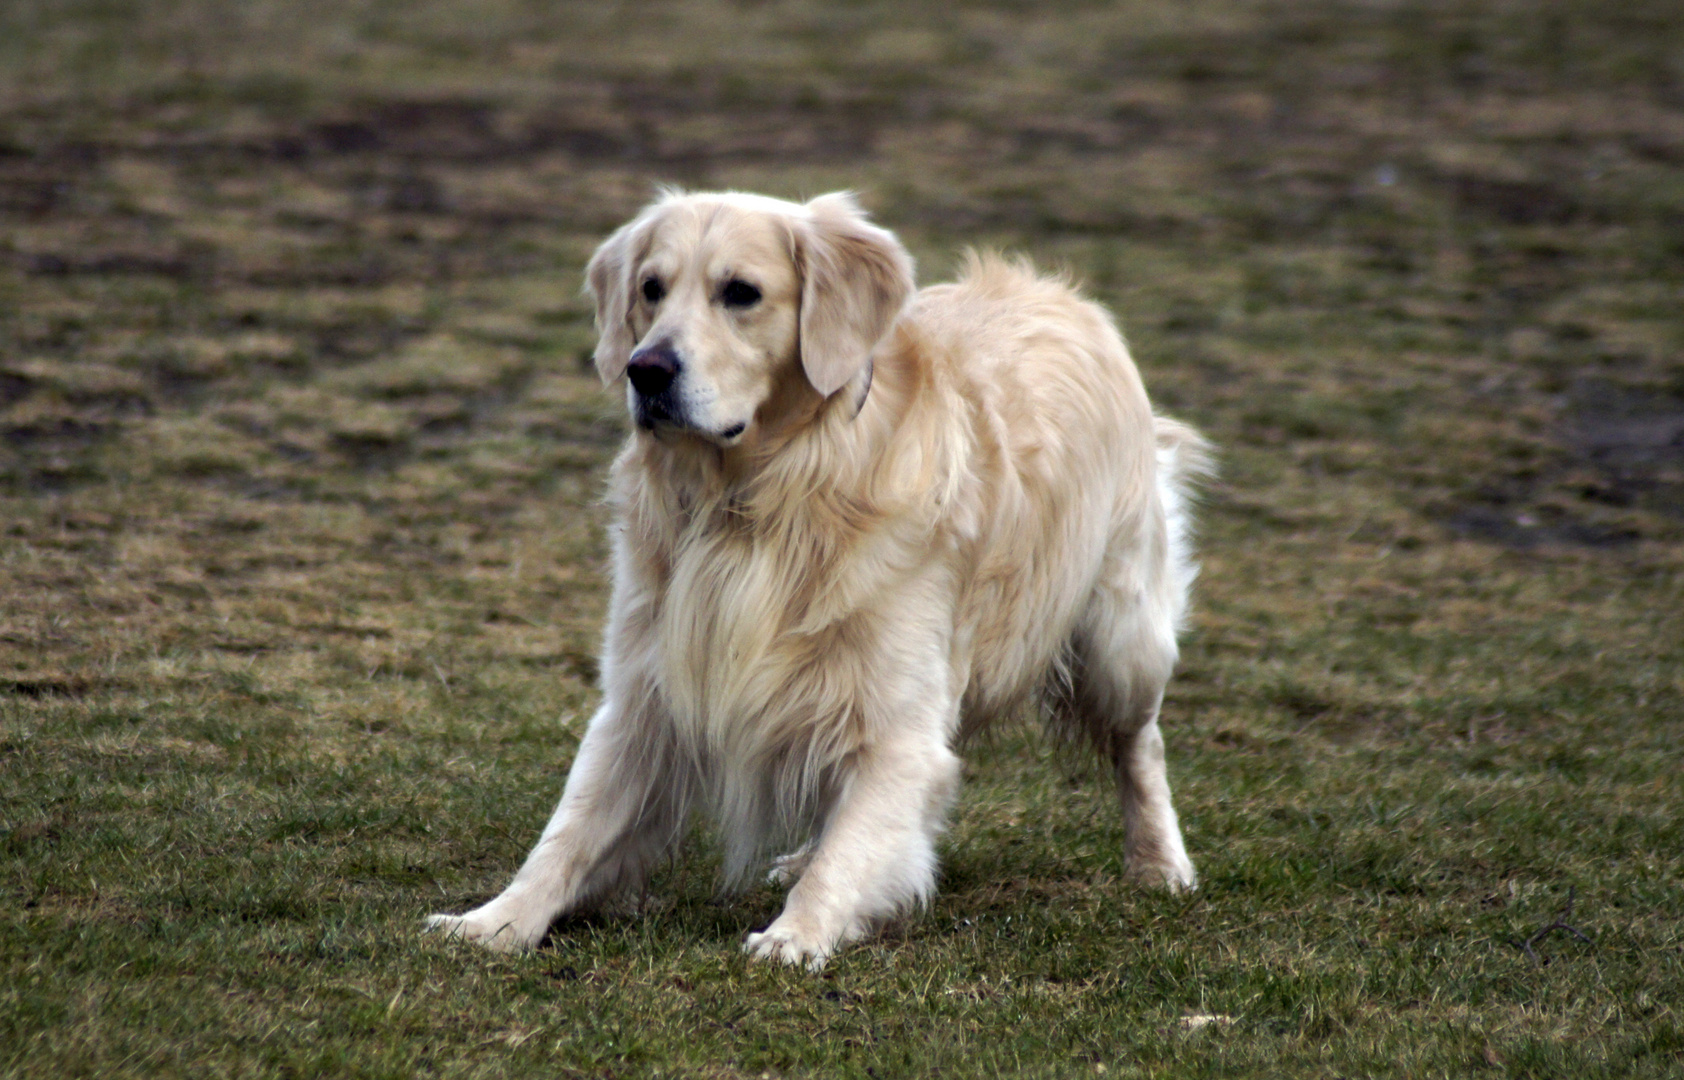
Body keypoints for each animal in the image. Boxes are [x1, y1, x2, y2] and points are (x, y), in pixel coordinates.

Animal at [427, 189, 1205, 963]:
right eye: (651, 289)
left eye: (741, 293)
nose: (644, 370)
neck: (760, 500)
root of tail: (1059, 291)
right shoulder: (646, 692)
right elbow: (571, 831)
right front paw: (495, 921)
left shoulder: (898, 723)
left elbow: (853, 847)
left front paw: (795, 935)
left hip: (1119, 637)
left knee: (1142, 744)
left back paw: (1159, 863)